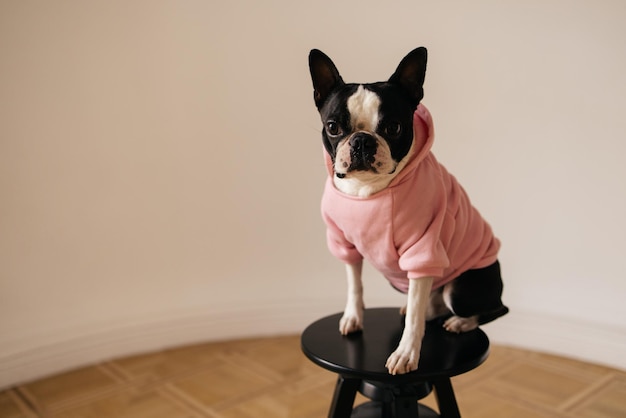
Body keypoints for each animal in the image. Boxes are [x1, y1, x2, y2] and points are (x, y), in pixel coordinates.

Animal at [308, 48, 508, 376]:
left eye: (393, 127)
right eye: (333, 127)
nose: (362, 140)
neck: (368, 191)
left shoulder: (423, 250)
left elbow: (413, 317)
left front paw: (406, 354)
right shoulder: (345, 244)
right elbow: (355, 285)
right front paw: (353, 317)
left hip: (462, 287)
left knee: (495, 308)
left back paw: (461, 321)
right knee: (434, 303)